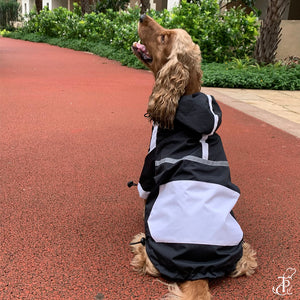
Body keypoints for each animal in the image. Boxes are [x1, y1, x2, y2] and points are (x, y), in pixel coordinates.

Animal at [131, 14, 258, 300]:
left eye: (164, 37)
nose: (142, 15)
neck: (185, 98)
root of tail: (198, 270)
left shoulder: (149, 164)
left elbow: (145, 187)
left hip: (151, 249)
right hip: (242, 250)